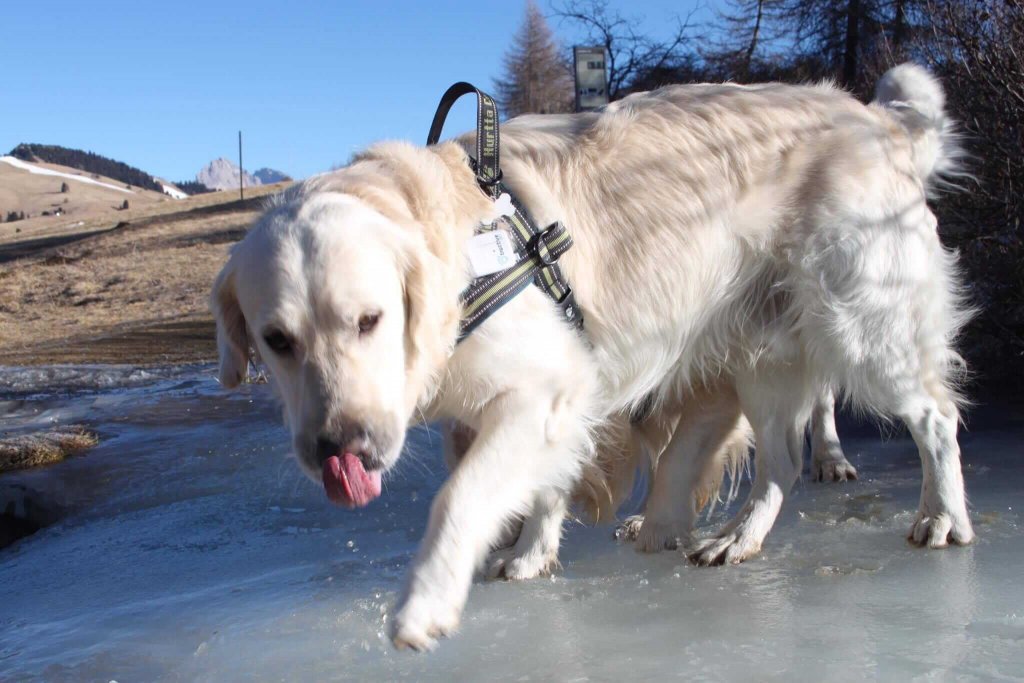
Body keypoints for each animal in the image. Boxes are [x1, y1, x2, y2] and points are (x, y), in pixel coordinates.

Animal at [211, 63, 970, 651]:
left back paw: (941, 517)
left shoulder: (544, 388)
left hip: (863, 323)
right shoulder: (553, 400)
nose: (340, 447)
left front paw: (425, 601)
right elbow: (545, 483)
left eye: (370, 320)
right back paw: (735, 537)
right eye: (277, 340)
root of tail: (876, 118)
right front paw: (530, 552)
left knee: (934, 418)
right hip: (764, 351)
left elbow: (461, 494)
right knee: (779, 461)